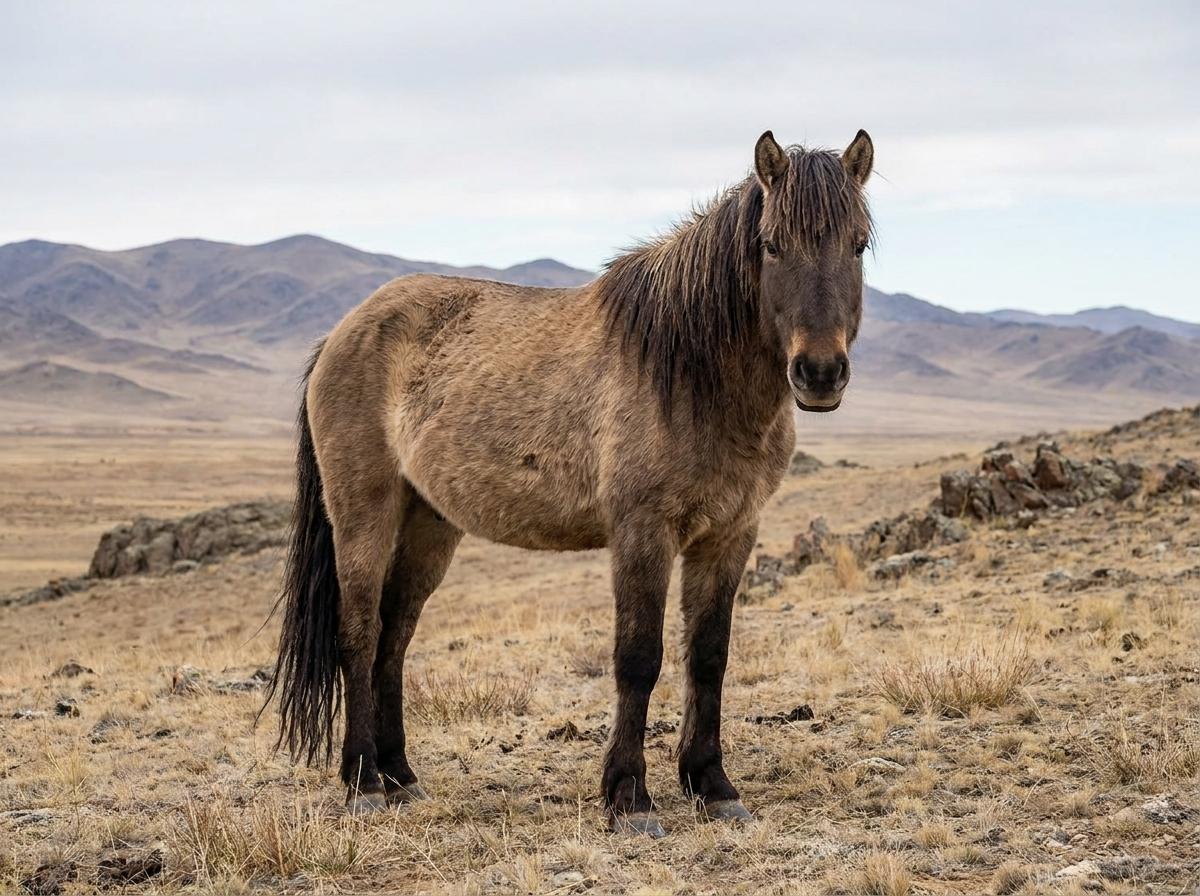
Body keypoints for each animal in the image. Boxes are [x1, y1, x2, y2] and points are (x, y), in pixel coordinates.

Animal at [265, 128, 874, 836]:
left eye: (857, 244)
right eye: (772, 244)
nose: (820, 373)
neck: (690, 372)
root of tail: (341, 333)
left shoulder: (729, 534)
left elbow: (709, 656)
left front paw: (714, 786)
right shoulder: (642, 532)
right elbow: (638, 659)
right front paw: (630, 798)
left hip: (428, 524)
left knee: (394, 637)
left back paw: (400, 777)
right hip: (364, 511)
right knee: (360, 634)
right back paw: (363, 780)